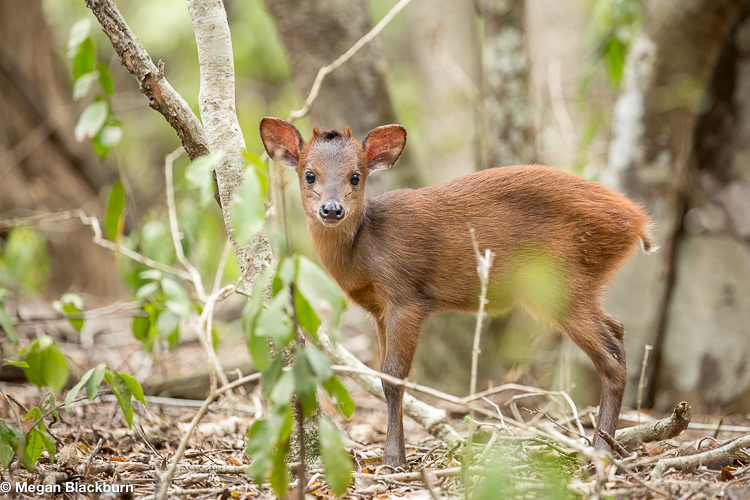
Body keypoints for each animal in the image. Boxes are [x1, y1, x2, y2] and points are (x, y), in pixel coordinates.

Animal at [259, 116, 657, 467]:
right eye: (309, 174)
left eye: (356, 176)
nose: (332, 209)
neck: (365, 249)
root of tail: (638, 222)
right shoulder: (379, 309)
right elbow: (385, 376)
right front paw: (397, 456)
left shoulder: (407, 296)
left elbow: (394, 377)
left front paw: (393, 460)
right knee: (617, 330)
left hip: (562, 280)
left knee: (611, 356)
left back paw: (600, 453)